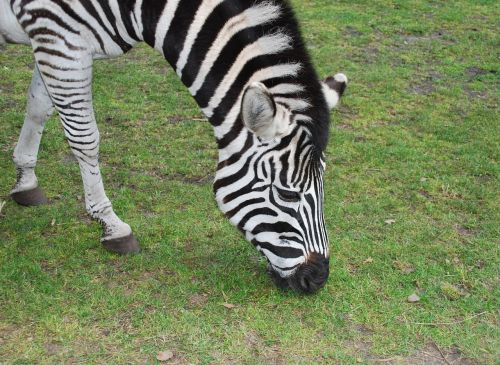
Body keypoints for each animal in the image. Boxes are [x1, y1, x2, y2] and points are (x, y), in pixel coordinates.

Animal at [0, 0, 348, 292]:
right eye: (287, 194)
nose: (318, 279)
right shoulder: (59, 37)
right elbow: (85, 138)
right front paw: (111, 224)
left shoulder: (51, 40)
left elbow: (38, 107)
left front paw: (26, 180)